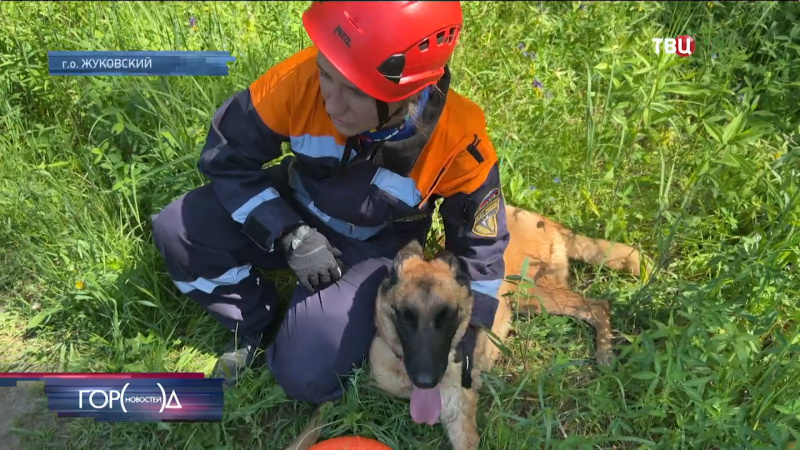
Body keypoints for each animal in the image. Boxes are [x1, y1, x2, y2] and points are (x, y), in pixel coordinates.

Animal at [290, 205, 648, 450]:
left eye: (447, 316)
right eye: (405, 316)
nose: (426, 380)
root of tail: (539, 217)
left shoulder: (460, 419)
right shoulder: (354, 386)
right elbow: (312, 425)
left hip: (530, 293)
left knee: (597, 305)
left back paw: (605, 353)